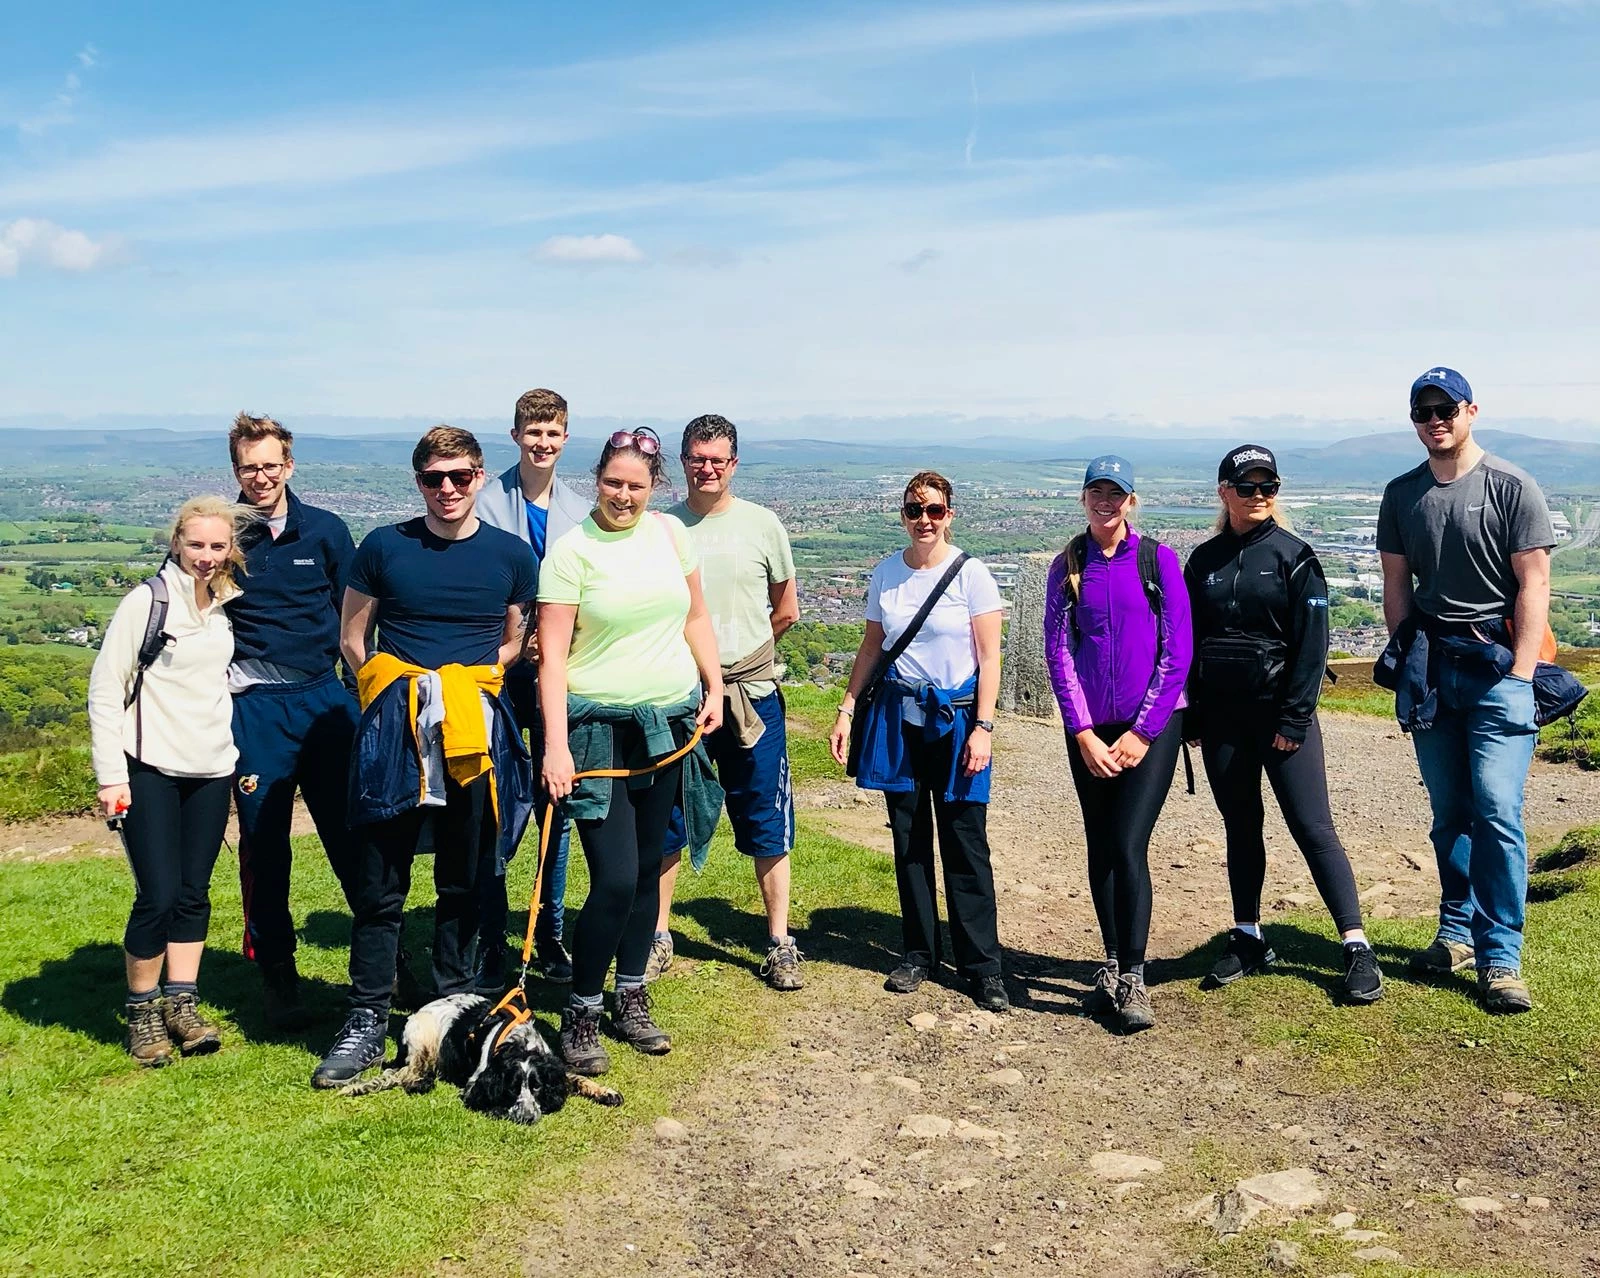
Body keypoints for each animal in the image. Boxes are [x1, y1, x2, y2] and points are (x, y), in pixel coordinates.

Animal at [340, 991, 620, 1126]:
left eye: (537, 1087)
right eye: (512, 1088)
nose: (527, 1118)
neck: (519, 1044)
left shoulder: (553, 1066)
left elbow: (575, 1078)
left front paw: (606, 1092)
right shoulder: (476, 1083)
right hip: (422, 1036)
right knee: (401, 1073)